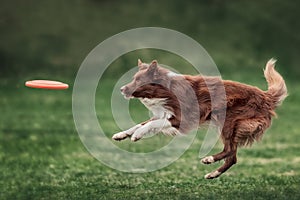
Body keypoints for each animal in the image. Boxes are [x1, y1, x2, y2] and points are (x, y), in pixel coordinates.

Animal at [111, 58, 288, 179]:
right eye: (133, 78)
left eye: (139, 80)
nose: (121, 89)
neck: (166, 89)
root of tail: (265, 96)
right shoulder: (163, 113)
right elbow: (142, 123)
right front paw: (121, 134)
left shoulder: (181, 118)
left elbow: (148, 125)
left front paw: (137, 135)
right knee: (233, 157)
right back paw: (213, 174)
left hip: (228, 121)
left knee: (230, 150)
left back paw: (209, 159)